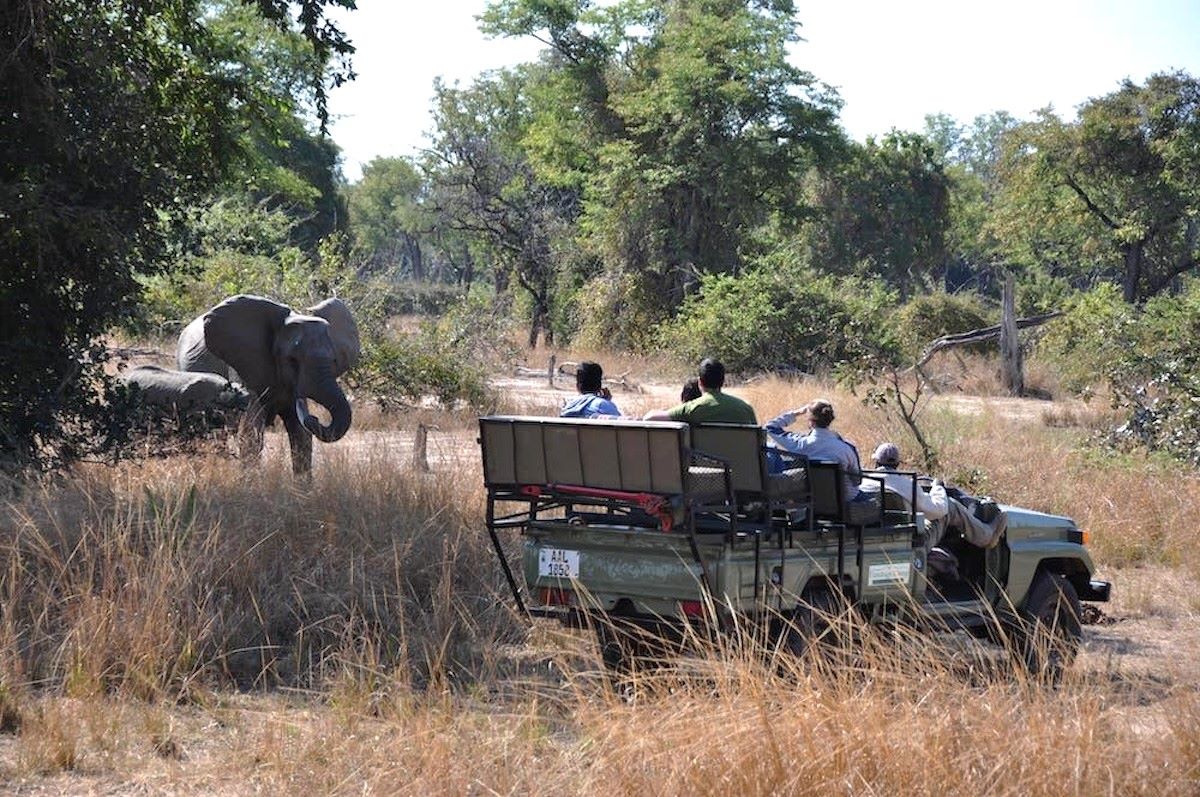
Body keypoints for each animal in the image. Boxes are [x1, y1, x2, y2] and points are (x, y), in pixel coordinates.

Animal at [120, 364, 249, 417]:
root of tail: (126, 375)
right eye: (237, 391)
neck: (221, 390)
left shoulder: (208, 407)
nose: (248, 397)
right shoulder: (181, 407)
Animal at [175, 297, 357, 472]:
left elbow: (301, 435)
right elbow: (251, 433)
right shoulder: (242, 366)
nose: (315, 417)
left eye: (333, 360)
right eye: (292, 360)